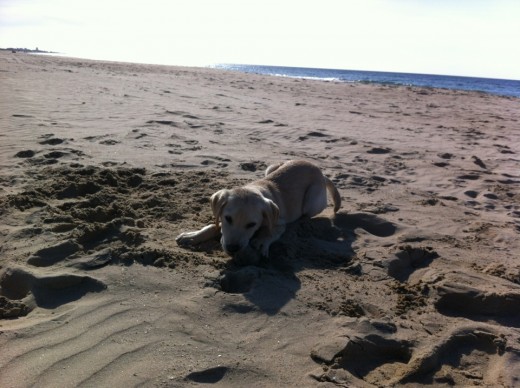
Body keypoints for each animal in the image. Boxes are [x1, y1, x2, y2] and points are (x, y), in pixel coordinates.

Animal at [177, 161, 344, 258]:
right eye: (228, 218)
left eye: (251, 225)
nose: (232, 248)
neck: (255, 188)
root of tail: (321, 174)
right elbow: (213, 225)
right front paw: (192, 236)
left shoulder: (279, 222)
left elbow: (272, 232)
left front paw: (263, 240)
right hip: (271, 167)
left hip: (311, 200)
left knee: (306, 214)